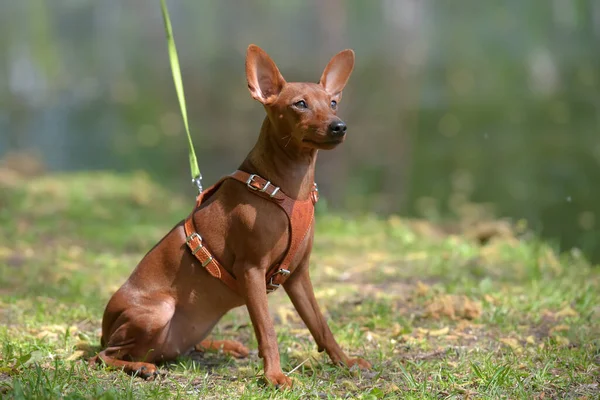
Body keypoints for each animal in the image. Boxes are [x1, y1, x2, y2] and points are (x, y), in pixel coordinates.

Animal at [90, 43, 370, 388]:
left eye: (332, 102)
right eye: (300, 104)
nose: (339, 126)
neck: (286, 188)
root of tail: (104, 331)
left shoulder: (298, 275)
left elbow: (321, 326)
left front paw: (345, 362)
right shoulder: (251, 270)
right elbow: (267, 330)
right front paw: (275, 376)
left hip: (185, 330)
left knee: (180, 348)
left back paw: (222, 345)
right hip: (156, 312)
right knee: (102, 357)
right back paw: (141, 367)